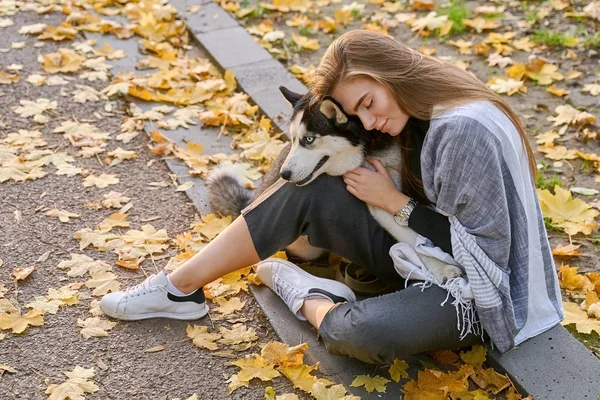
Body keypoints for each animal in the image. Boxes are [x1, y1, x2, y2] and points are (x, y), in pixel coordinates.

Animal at [207, 86, 464, 284]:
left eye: (309, 139)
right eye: (293, 140)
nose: (284, 174)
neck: (367, 144)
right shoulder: (377, 199)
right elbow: (412, 238)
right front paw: (442, 268)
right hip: (305, 246)